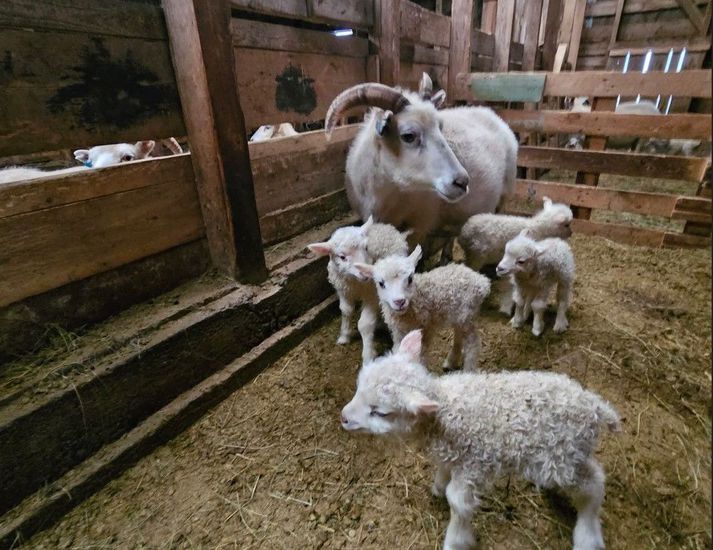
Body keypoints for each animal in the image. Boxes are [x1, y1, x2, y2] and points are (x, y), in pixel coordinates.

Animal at [340, 330, 616, 550]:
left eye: (380, 412)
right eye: (358, 387)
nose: (343, 418)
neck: (442, 413)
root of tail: (595, 405)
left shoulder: (473, 464)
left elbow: (458, 502)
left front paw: (456, 541)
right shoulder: (456, 455)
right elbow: (444, 470)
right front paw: (438, 485)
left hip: (563, 458)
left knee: (594, 484)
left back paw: (588, 537)